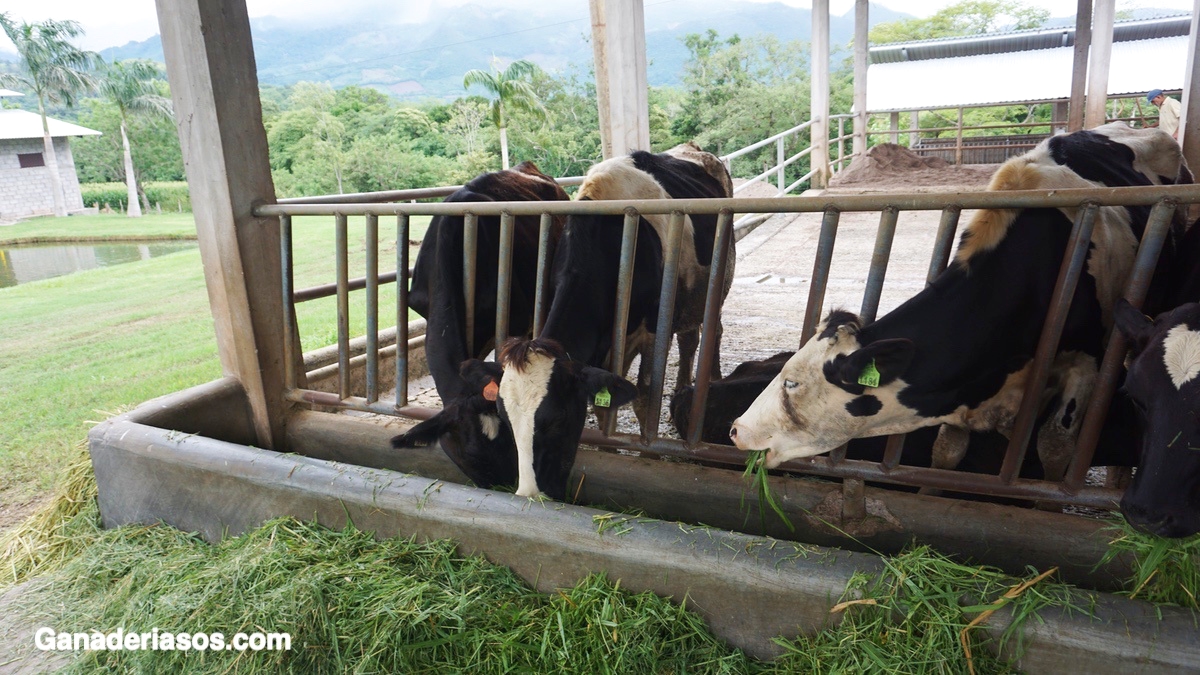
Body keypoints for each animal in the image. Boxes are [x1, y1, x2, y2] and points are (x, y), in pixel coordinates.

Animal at [492, 141, 734, 497]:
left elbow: (644, 396)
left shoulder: (652, 330)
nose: (529, 491)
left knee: (712, 330)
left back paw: (712, 382)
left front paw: (649, 456)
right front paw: (606, 448)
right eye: (506, 420)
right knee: (689, 338)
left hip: (718, 280)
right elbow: (604, 403)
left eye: (557, 420)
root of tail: (693, 148)